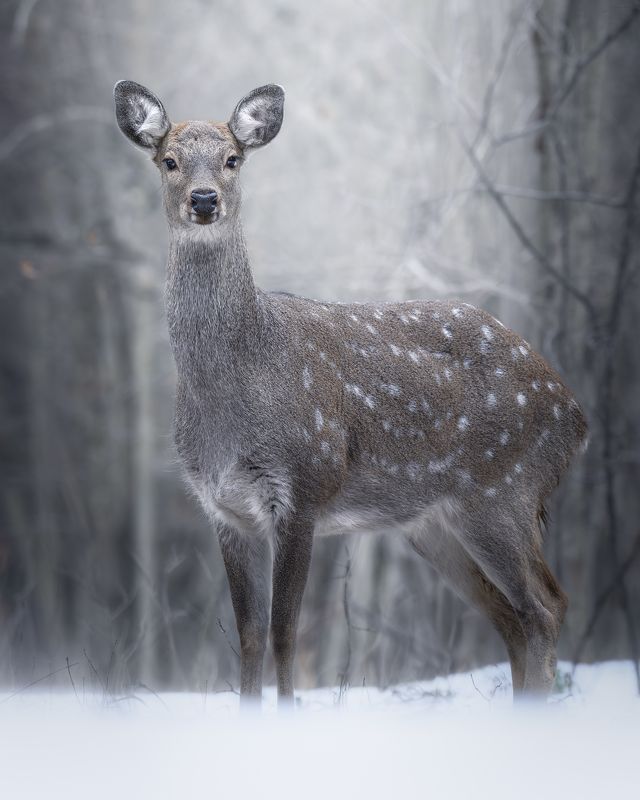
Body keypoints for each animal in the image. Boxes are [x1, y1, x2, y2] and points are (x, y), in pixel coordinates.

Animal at [114, 81, 584, 708]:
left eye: (233, 159)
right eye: (168, 160)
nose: (205, 200)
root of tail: (576, 416)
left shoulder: (303, 485)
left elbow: (285, 631)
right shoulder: (225, 509)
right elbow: (248, 636)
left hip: (503, 490)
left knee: (547, 605)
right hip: (435, 525)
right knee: (514, 619)